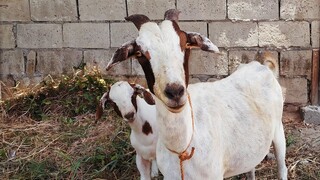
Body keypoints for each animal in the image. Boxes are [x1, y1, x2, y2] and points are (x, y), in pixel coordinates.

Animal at [105, 9, 288, 180]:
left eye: (185, 44)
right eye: (139, 53)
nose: (175, 91)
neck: (182, 147)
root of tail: (261, 65)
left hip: (278, 130)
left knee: (282, 167)